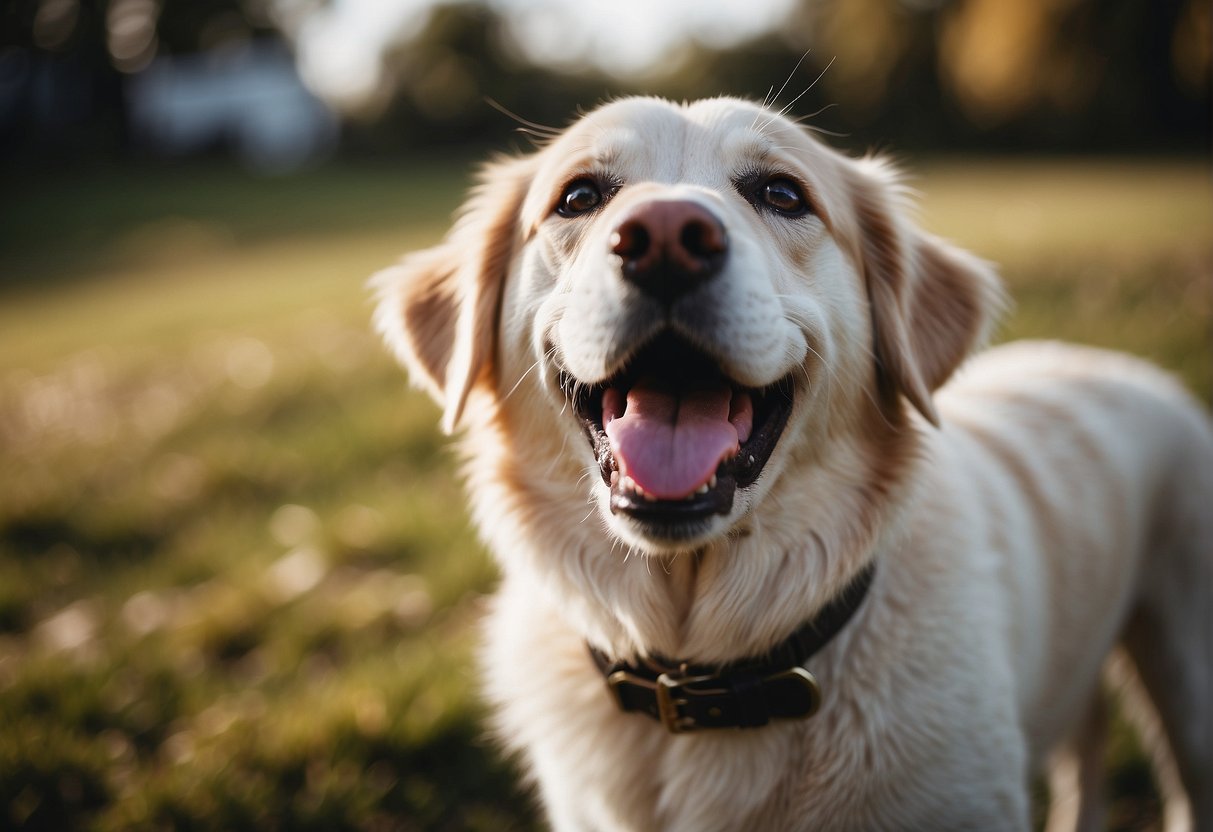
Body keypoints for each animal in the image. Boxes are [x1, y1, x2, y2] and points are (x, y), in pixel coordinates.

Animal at [371, 99, 1213, 832]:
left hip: (1183, 675)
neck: (700, 671)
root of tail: (1123, 365)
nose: (665, 234)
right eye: (579, 196)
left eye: (781, 192)